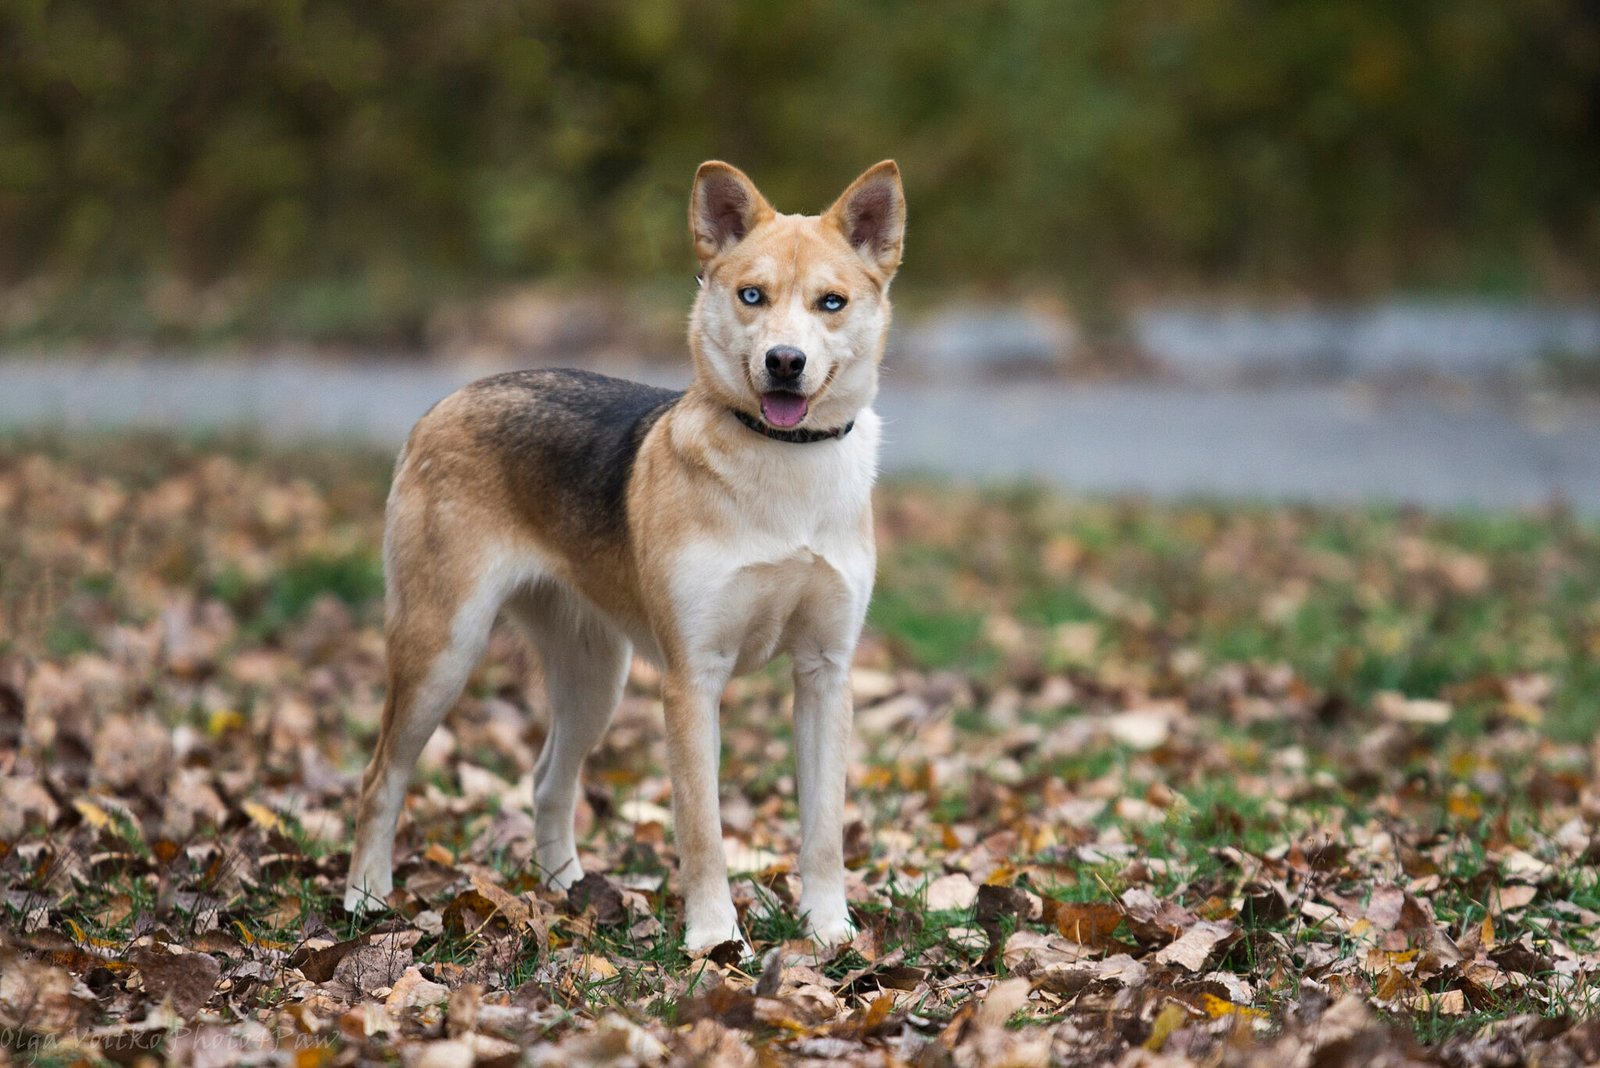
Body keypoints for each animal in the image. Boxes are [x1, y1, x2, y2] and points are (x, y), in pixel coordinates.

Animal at [344, 160, 908, 952]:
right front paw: (714, 940)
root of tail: (446, 402)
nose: (784, 362)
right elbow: (702, 831)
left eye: (832, 302)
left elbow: (823, 827)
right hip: (442, 651)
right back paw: (364, 899)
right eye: (752, 296)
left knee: (547, 781)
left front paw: (829, 930)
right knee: (380, 778)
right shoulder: (692, 681)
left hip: (594, 681)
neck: (784, 465)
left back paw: (566, 891)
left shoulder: (825, 675)